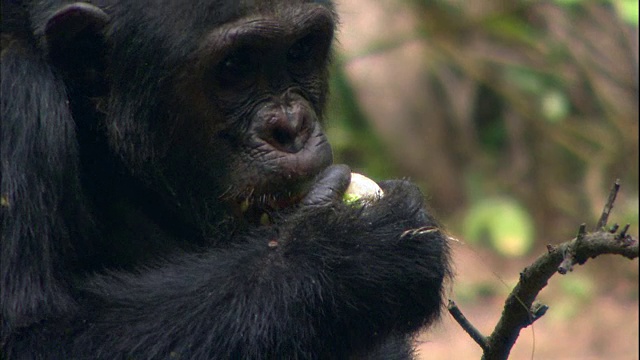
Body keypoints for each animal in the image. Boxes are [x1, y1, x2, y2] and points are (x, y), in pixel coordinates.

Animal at [1, 0, 450, 360]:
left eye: (299, 50)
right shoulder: (19, 101)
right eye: (236, 66)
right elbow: (31, 338)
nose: (291, 127)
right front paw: (349, 254)